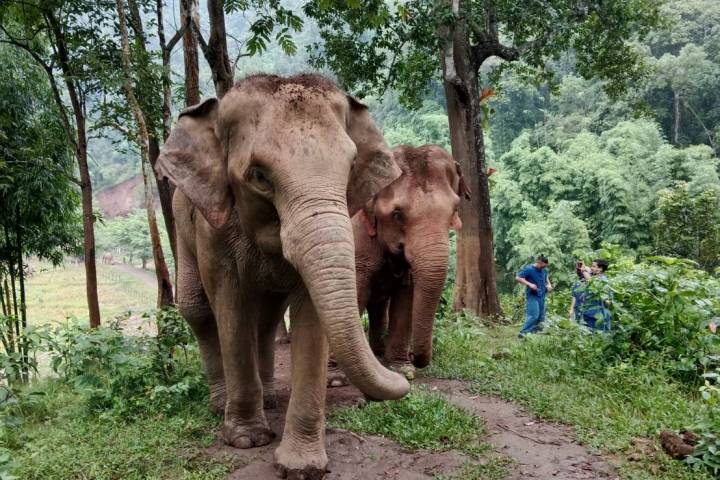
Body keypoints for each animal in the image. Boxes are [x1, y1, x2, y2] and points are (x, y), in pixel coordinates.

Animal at [156, 74, 410, 478]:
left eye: (351, 165)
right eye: (259, 176)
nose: (403, 376)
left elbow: (311, 315)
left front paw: (302, 467)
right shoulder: (213, 231)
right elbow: (230, 308)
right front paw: (246, 440)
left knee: (268, 317)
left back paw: (271, 399)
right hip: (183, 224)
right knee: (198, 309)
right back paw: (220, 405)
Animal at [352, 144, 470, 379]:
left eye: (454, 210)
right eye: (397, 215)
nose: (415, 356)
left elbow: (407, 297)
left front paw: (402, 368)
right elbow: (357, 290)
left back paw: (377, 352)